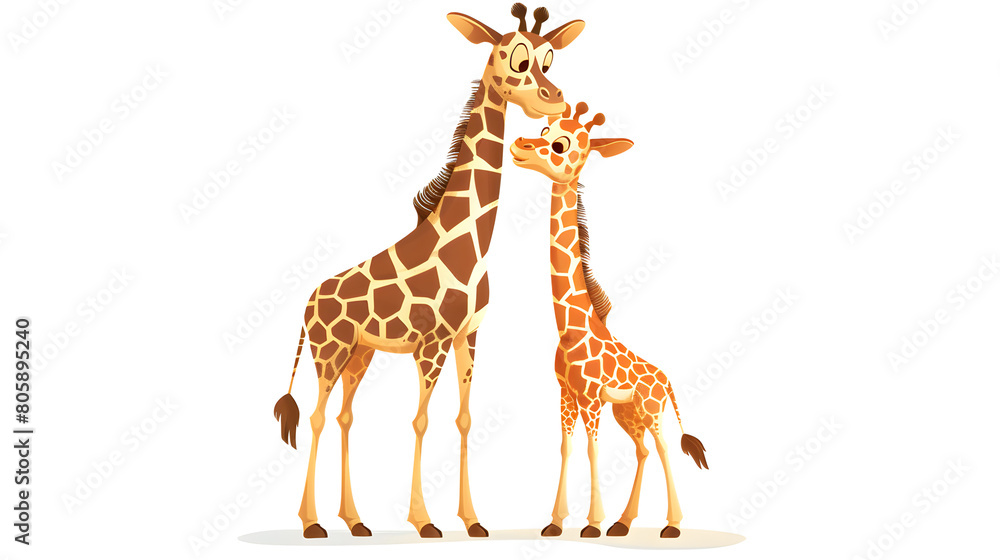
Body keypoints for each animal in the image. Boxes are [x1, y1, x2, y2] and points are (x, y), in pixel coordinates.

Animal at [272, 4, 586, 540]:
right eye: (516, 58)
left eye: (551, 59)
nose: (554, 99)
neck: (470, 244)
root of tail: (308, 302)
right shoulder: (431, 342)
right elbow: (419, 420)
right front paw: (424, 521)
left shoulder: (468, 336)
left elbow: (464, 419)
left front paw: (473, 520)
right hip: (329, 350)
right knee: (315, 416)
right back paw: (312, 523)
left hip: (360, 354)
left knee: (345, 416)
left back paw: (355, 521)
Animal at [509, 102, 710, 539]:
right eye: (544, 128)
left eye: (561, 144)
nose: (520, 145)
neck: (571, 328)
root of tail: (666, 379)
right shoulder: (566, 393)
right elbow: (566, 447)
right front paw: (556, 522)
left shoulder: (591, 398)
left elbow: (591, 448)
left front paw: (591, 523)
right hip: (627, 413)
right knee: (643, 450)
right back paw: (624, 522)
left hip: (650, 409)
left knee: (664, 447)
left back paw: (671, 525)